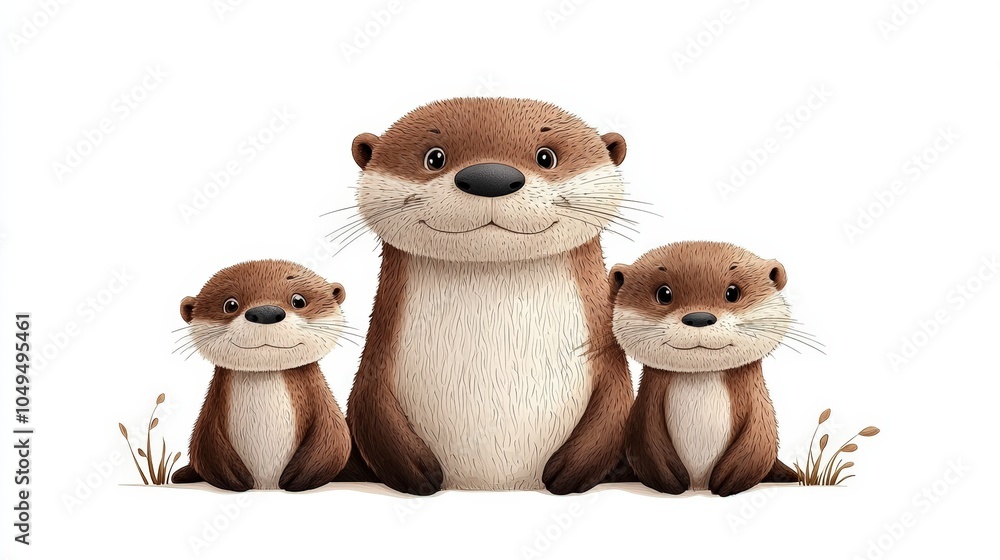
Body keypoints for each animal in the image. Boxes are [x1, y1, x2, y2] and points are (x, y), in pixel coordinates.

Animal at [171, 260, 351, 492]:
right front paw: (236, 479)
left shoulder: (326, 410)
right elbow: (204, 444)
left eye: (298, 300)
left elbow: (335, 438)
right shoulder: (209, 416)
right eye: (230, 305)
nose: (266, 312)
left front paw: (298, 478)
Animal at [343, 98, 633, 495]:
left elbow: (616, 403)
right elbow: (370, 404)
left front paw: (568, 474)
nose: (489, 177)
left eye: (546, 157)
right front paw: (421, 475)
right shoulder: (376, 363)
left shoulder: (606, 357)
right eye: (434, 157)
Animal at [610, 242, 799, 496]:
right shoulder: (645, 413)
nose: (699, 318)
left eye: (732, 292)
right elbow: (647, 442)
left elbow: (759, 442)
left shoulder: (760, 411)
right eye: (664, 294)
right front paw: (672, 481)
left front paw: (728, 480)